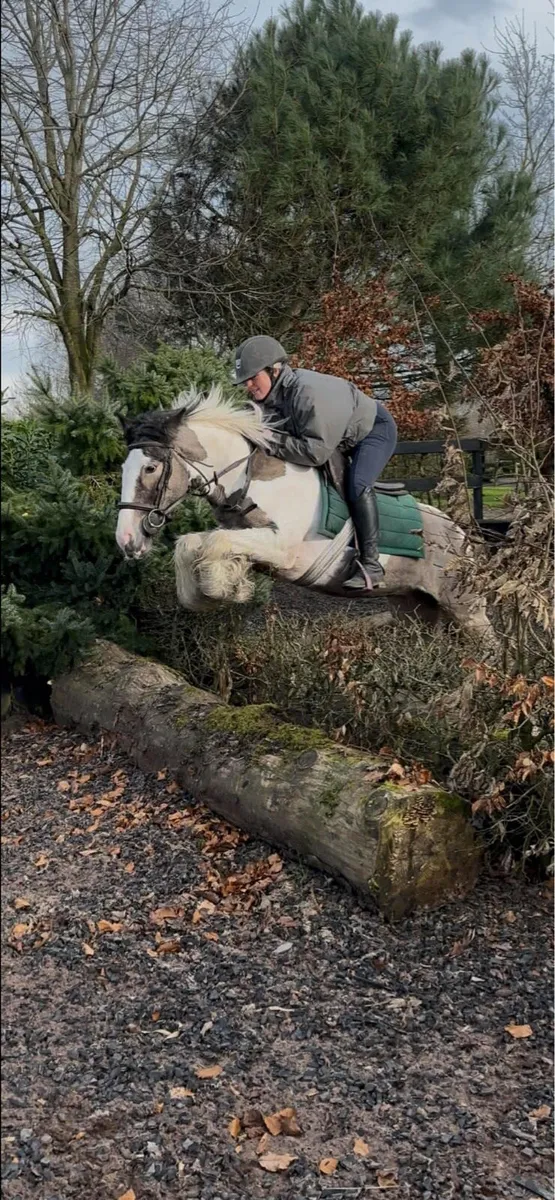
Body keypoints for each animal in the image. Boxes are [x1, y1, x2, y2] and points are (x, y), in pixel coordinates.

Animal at [115, 386, 492, 639]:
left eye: (150, 468)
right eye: (123, 467)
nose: (126, 539)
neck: (249, 479)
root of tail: (462, 534)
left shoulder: (283, 550)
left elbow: (212, 543)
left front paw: (226, 589)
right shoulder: (246, 536)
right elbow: (193, 544)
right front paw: (221, 590)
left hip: (466, 607)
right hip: (413, 606)